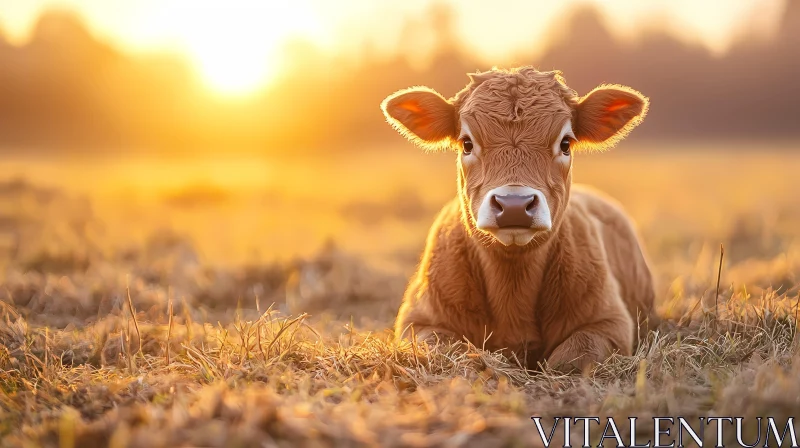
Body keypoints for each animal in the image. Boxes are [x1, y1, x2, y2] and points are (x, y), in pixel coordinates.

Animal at [384, 66, 660, 372]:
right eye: (467, 143)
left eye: (566, 143)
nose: (513, 205)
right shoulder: (419, 321)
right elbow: (449, 349)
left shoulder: (610, 322)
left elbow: (573, 357)